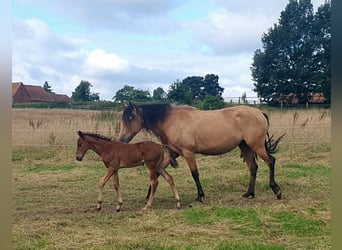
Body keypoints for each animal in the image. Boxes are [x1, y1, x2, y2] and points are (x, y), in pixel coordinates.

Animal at [119, 102, 284, 202]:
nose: (122, 140)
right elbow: (158, 171)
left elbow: (195, 174)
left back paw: (276, 190)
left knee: (271, 161)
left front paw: (200, 196)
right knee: (253, 167)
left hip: (256, 146)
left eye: (130, 117)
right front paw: (148, 195)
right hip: (245, 147)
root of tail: (260, 112)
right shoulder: (174, 152)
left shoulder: (188, 153)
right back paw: (249, 193)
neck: (171, 121)